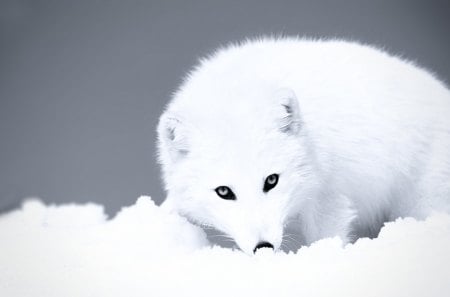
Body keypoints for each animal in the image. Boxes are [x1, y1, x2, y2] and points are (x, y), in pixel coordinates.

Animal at [156, 37, 450, 254]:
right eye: (224, 191)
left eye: (271, 180)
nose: (264, 247)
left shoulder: (330, 197)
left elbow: (327, 237)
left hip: (422, 202)